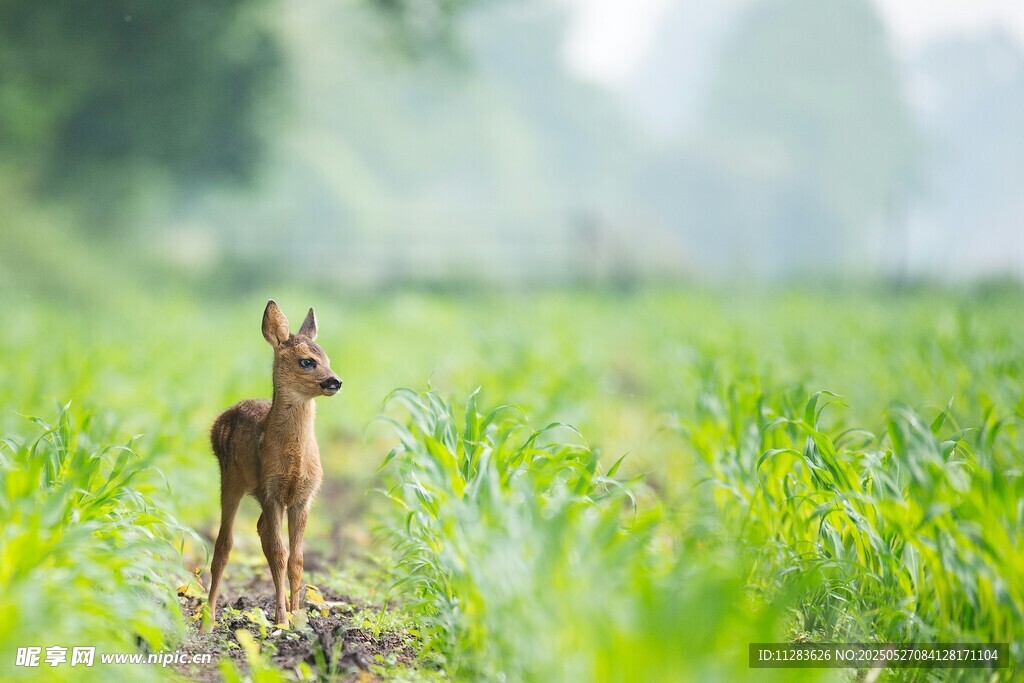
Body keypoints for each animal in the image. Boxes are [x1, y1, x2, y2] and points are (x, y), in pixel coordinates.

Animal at [203, 300, 342, 632]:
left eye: (327, 358)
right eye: (307, 362)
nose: (335, 381)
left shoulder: (304, 497)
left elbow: (297, 558)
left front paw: (297, 616)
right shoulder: (271, 490)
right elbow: (280, 553)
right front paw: (281, 620)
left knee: (261, 532)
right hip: (230, 479)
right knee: (224, 545)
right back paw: (207, 620)